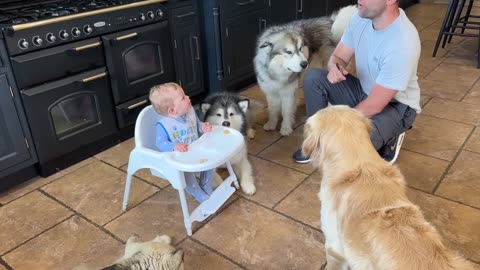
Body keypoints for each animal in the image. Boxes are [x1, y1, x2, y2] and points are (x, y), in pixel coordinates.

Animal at [255, 5, 356, 137]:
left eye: (300, 48)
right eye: (288, 52)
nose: (304, 64)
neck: (278, 72)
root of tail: (330, 21)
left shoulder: (289, 93)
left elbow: (286, 111)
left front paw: (285, 128)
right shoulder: (271, 92)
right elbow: (273, 111)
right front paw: (271, 124)